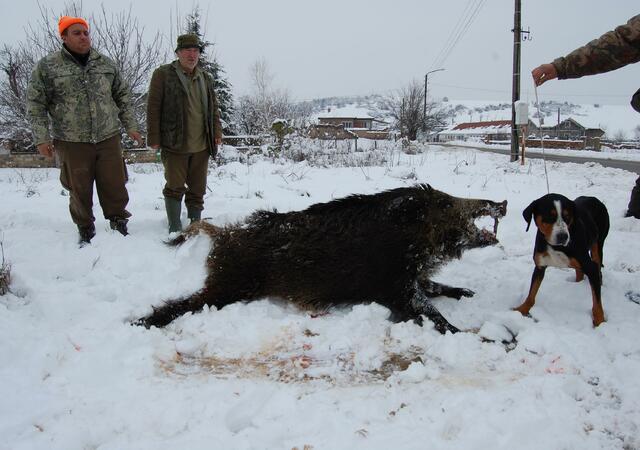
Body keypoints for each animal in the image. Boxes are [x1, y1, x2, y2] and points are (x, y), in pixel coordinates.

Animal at [135, 184, 504, 334]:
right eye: (444, 203)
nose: (501, 203)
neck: (409, 240)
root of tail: (224, 236)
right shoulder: (393, 286)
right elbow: (429, 310)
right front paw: (465, 333)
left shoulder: (411, 278)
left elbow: (436, 287)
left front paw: (468, 293)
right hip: (230, 284)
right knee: (183, 303)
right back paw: (140, 323)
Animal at [516, 193, 608, 326]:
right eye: (549, 216)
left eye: (567, 216)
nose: (563, 236)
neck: (557, 247)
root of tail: (593, 198)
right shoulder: (539, 266)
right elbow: (531, 293)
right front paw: (522, 309)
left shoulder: (590, 267)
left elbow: (597, 302)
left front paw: (600, 321)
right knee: (579, 271)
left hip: (598, 244)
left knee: (598, 267)